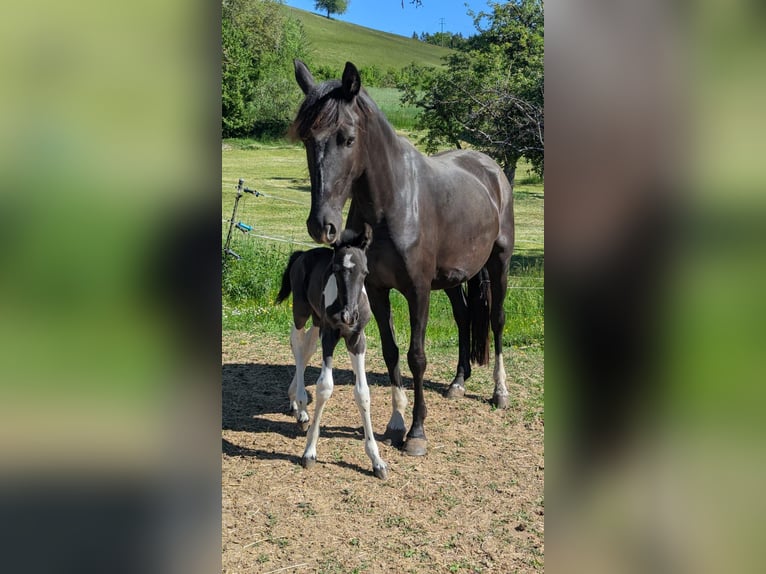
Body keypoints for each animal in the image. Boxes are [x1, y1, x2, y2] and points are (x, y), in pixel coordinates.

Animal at [275, 223, 388, 479]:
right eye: (336, 270)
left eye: (365, 272)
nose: (348, 316)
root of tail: (302, 254)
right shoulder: (329, 335)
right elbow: (325, 387)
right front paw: (309, 452)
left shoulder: (356, 339)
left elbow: (363, 393)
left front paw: (376, 461)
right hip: (301, 311)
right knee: (298, 346)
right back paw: (300, 405)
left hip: (317, 320)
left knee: (307, 347)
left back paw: (296, 403)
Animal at [290, 59, 515, 457]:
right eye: (307, 140)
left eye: (347, 138)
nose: (322, 225)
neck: (393, 201)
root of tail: (490, 168)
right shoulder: (378, 290)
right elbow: (392, 351)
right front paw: (396, 422)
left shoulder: (418, 291)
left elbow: (416, 356)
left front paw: (417, 433)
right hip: (454, 279)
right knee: (463, 318)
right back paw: (458, 382)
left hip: (499, 263)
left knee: (498, 321)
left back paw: (499, 392)